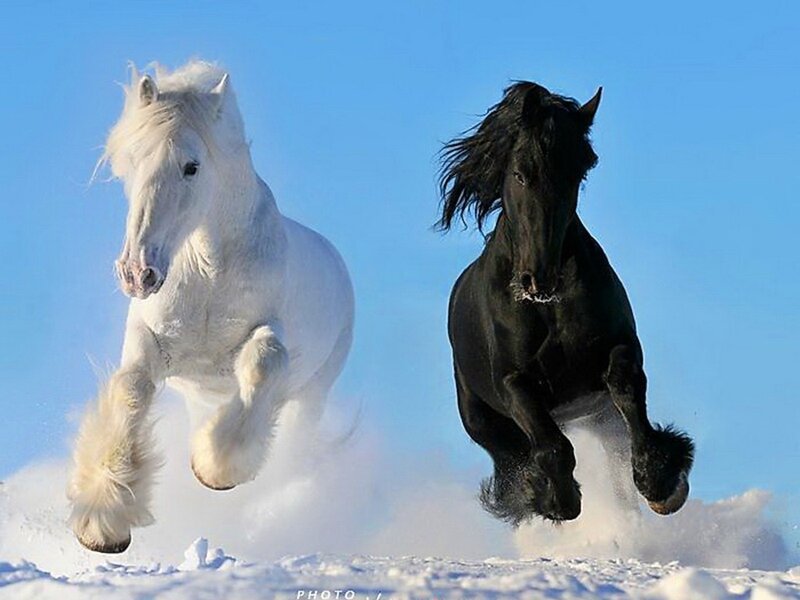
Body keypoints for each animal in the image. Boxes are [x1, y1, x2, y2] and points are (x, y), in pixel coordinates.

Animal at [68, 61, 354, 553]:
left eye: (191, 166)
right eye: (131, 162)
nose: (137, 272)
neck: (208, 272)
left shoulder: (267, 334)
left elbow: (263, 362)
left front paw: (215, 469)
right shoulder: (150, 344)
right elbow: (131, 390)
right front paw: (104, 522)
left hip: (312, 394)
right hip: (199, 396)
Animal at [437, 82, 694, 525]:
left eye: (577, 173)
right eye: (520, 173)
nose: (539, 279)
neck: (547, 307)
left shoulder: (618, 348)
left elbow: (627, 391)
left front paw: (661, 483)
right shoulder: (514, 382)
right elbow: (552, 446)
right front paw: (556, 499)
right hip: (482, 419)